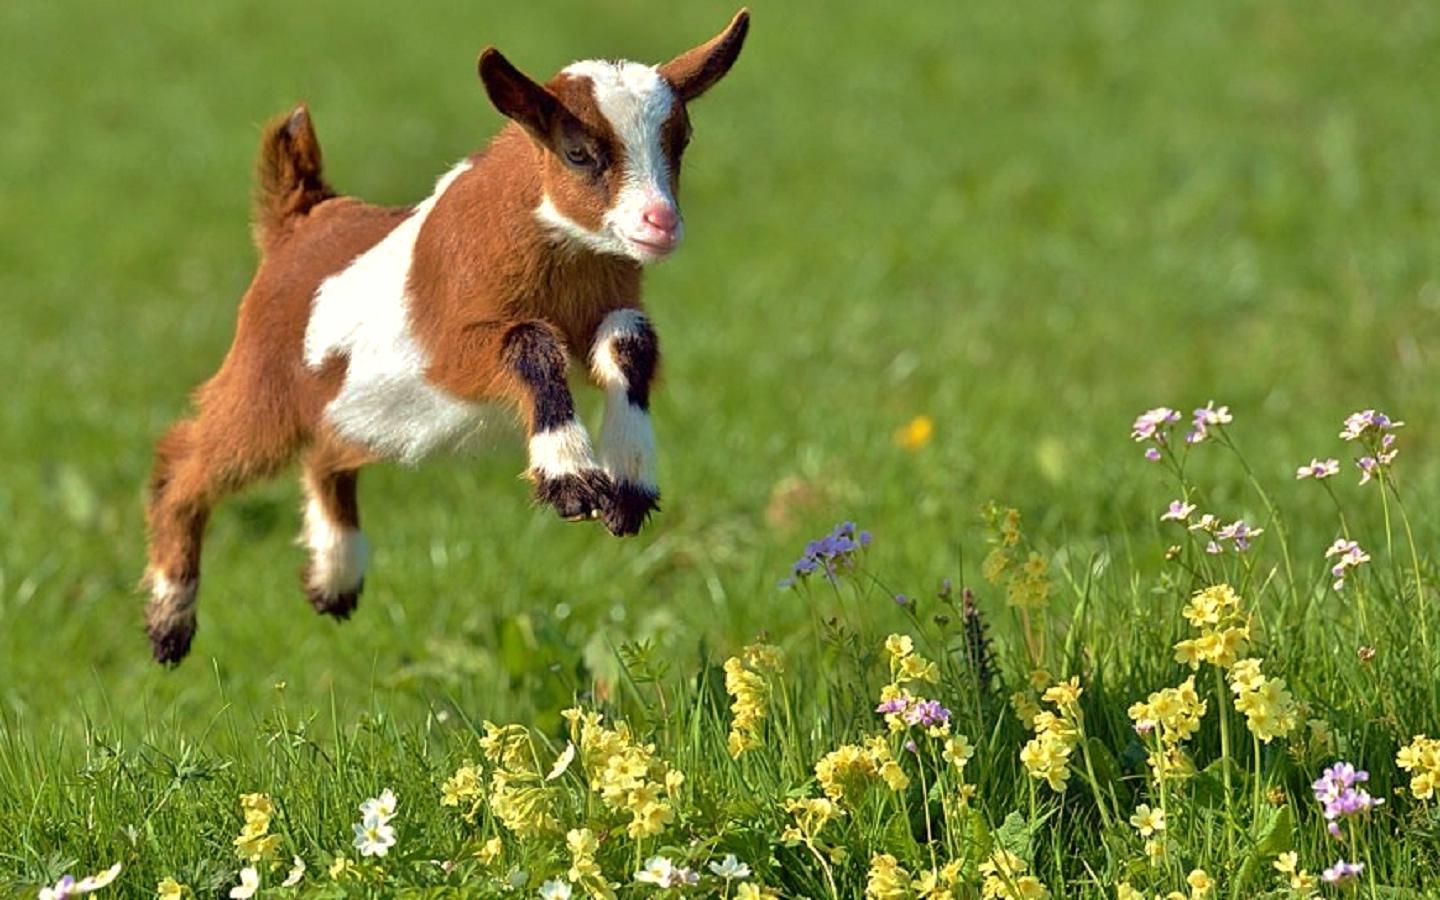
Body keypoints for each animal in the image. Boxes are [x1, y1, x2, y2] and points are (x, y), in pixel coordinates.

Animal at [143, 11, 750, 664]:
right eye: (579, 153)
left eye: (680, 142)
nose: (660, 223)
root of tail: (299, 218)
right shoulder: (450, 351)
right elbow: (531, 342)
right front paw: (569, 480)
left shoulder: (607, 305)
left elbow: (629, 340)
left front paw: (629, 486)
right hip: (265, 384)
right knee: (185, 459)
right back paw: (170, 618)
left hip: (353, 407)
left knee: (325, 455)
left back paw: (335, 579)